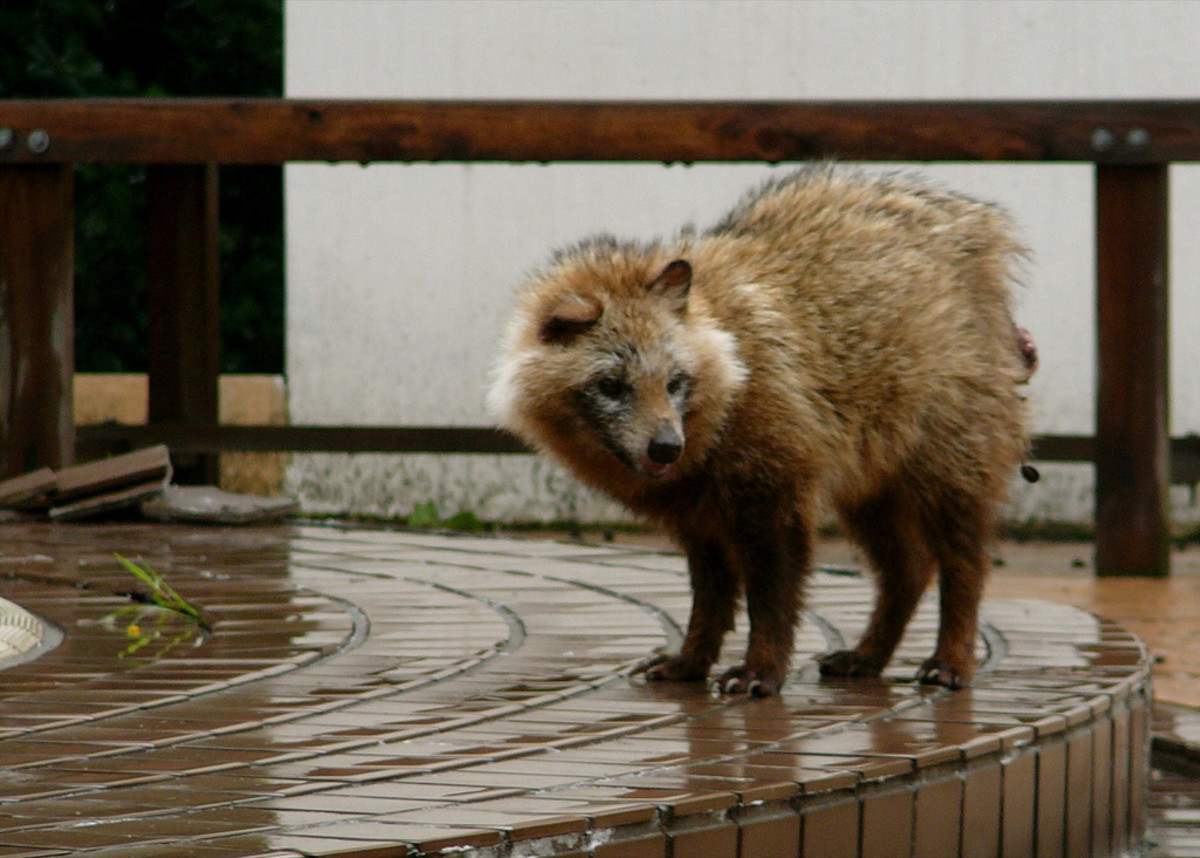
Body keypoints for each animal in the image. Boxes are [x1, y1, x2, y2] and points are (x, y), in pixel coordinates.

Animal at [489, 165, 1032, 696]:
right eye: (611, 386)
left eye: (674, 382)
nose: (666, 448)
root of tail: (978, 231)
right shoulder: (697, 512)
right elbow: (710, 596)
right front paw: (693, 657)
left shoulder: (775, 488)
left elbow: (772, 596)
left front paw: (763, 667)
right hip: (871, 475)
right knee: (909, 568)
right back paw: (870, 652)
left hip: (949, 453)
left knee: (963, 561)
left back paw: (953, 653)